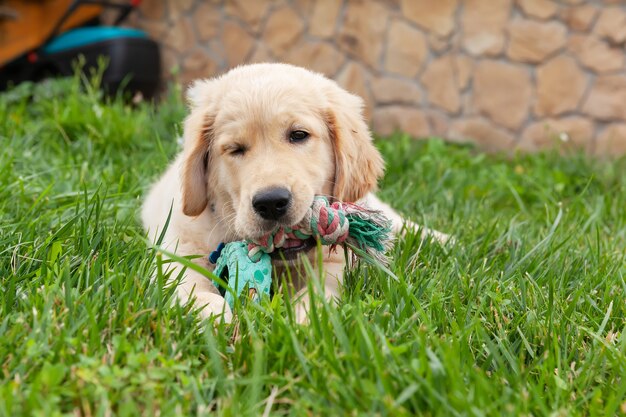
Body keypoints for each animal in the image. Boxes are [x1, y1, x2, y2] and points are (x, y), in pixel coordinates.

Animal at [141, 62, 444, 322]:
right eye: (235, 149)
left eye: (298, 135)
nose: (271, 202)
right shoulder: (178, 245)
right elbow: (186, 280)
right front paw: (212, 312)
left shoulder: (334, 262)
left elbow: (320, 290)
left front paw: (304, 317)